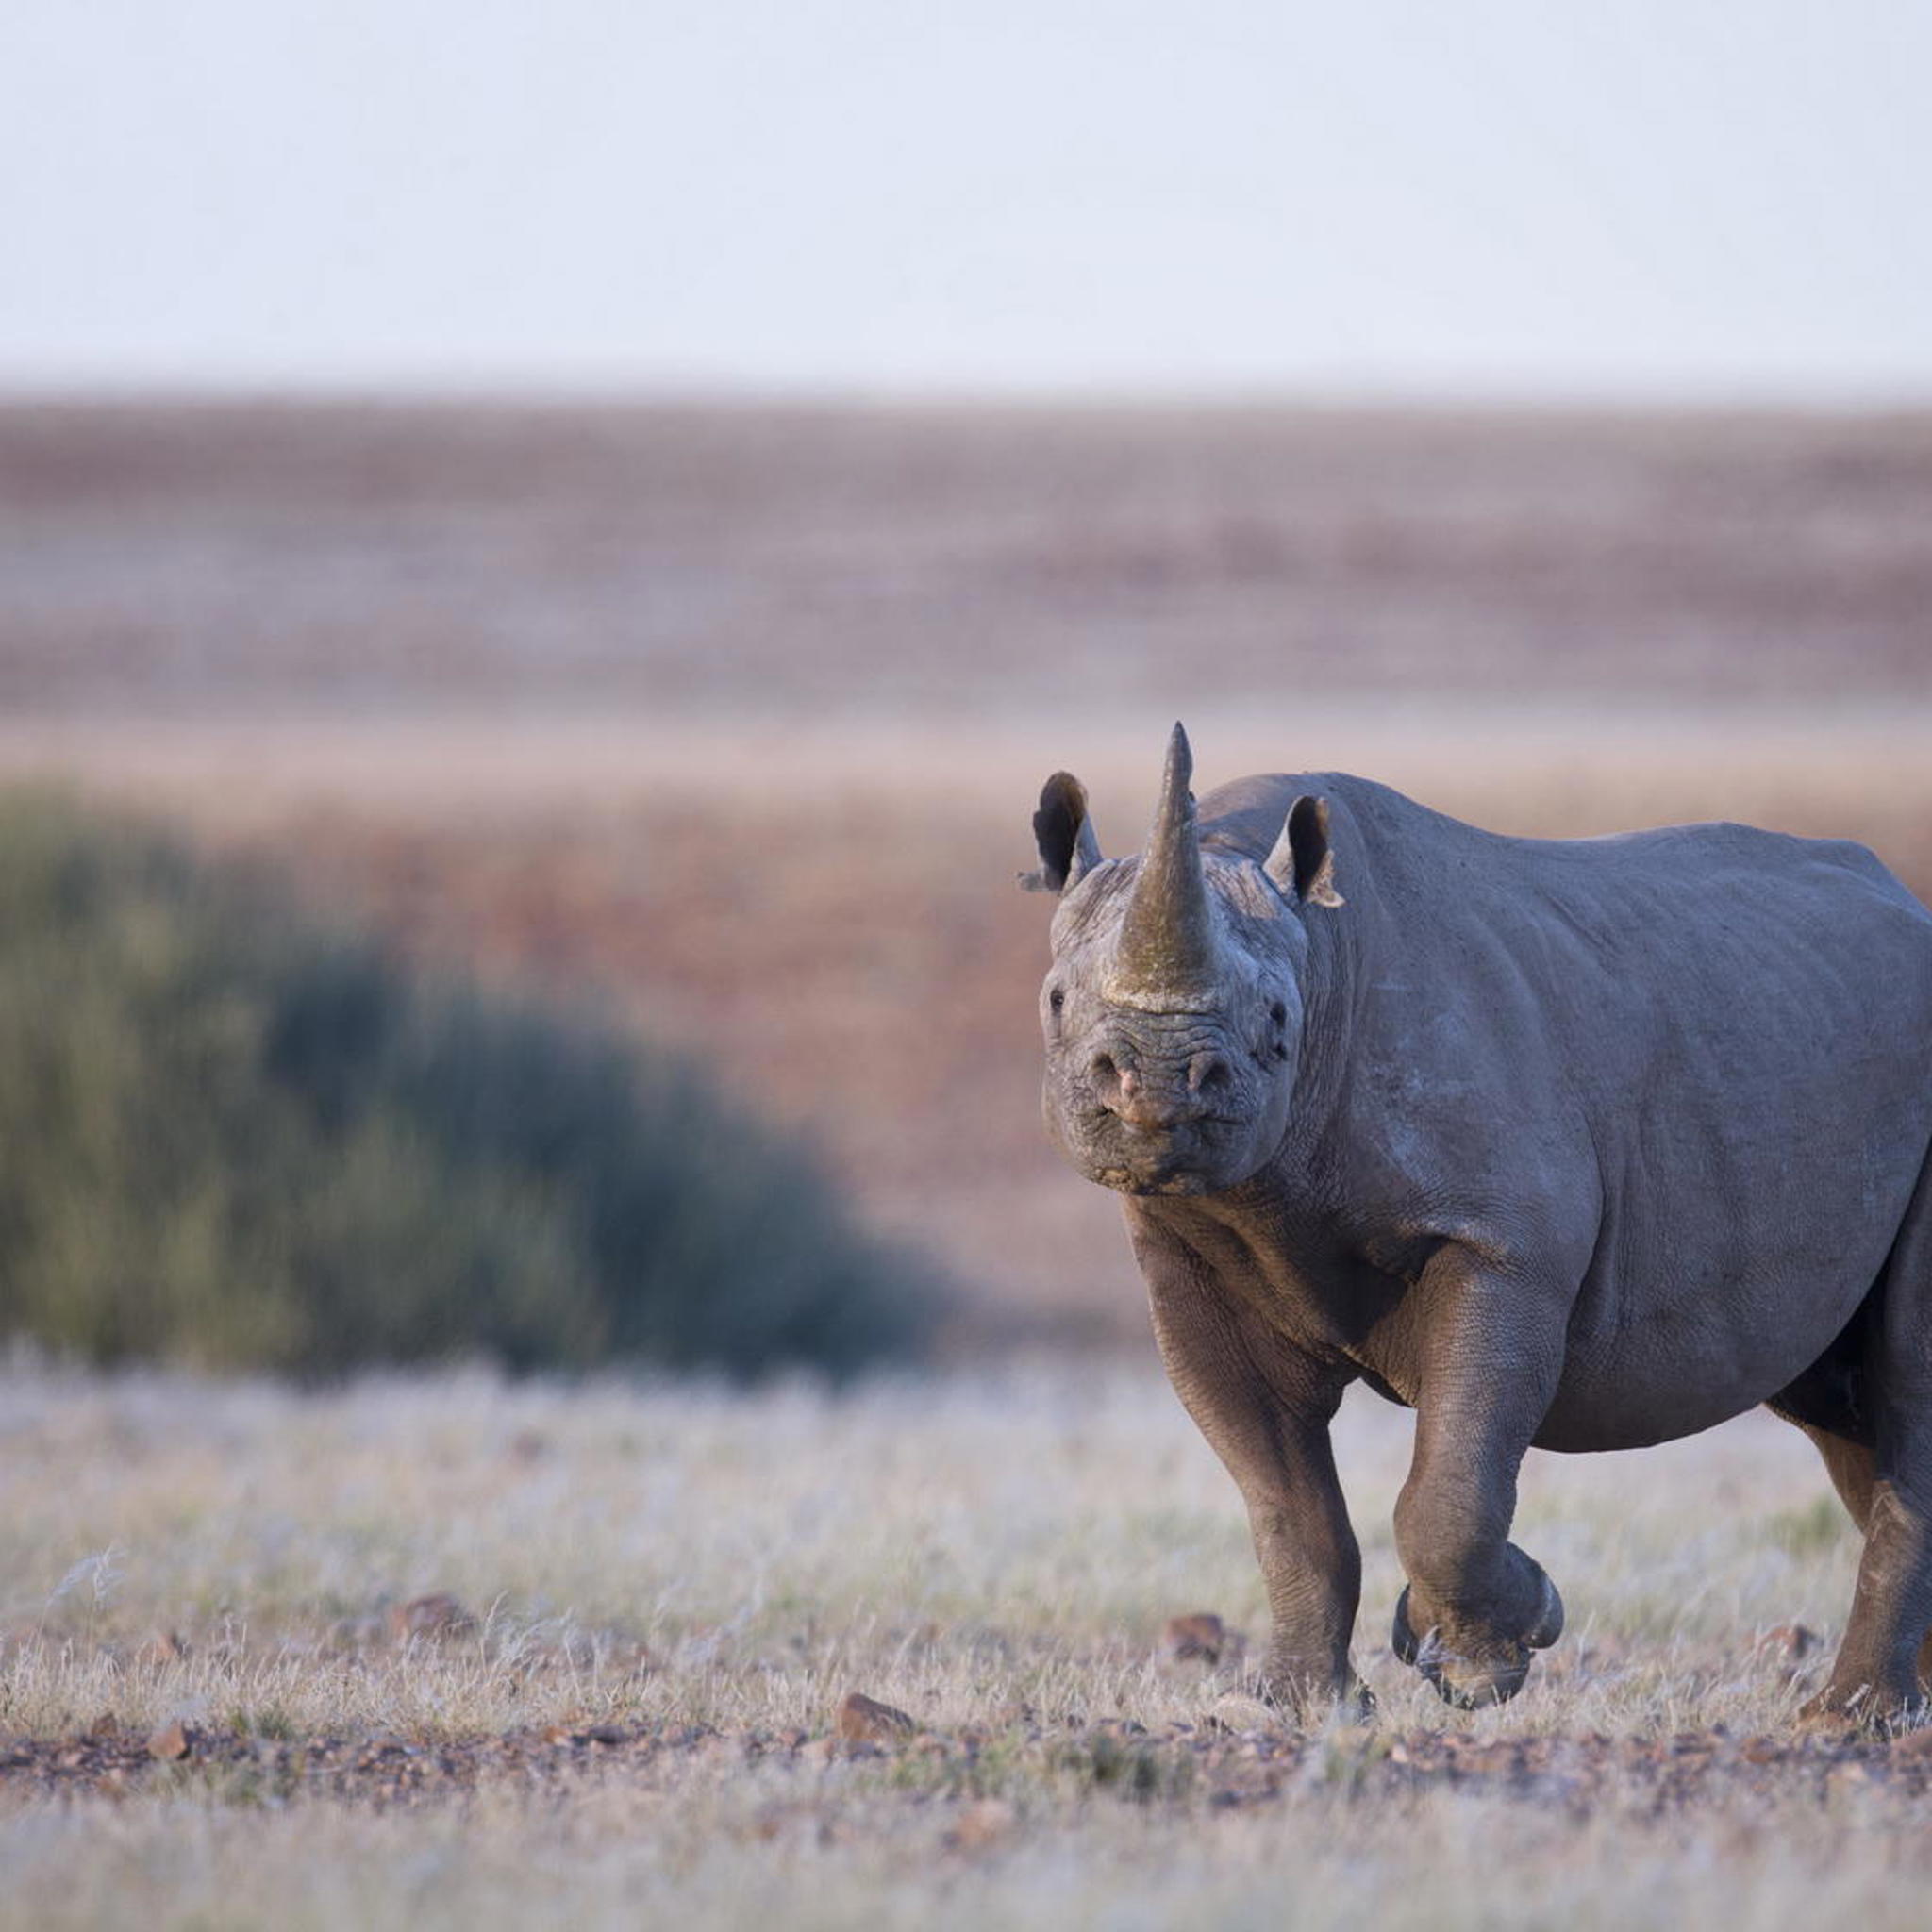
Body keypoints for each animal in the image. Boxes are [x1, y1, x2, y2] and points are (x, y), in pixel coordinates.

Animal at [1022, 724, 1932, 1726]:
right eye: (1056, 1002)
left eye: (1276, 1018)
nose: (1156, 1082)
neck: (1323, 953)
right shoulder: (1190, 1259)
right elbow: (1284, 1501)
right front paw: (1302, 1708)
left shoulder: (1501, 1246)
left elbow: (1450, 1491)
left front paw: (1488, 1653)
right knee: (1846, 1415)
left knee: (1904, 1386)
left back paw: (1850, 1719)